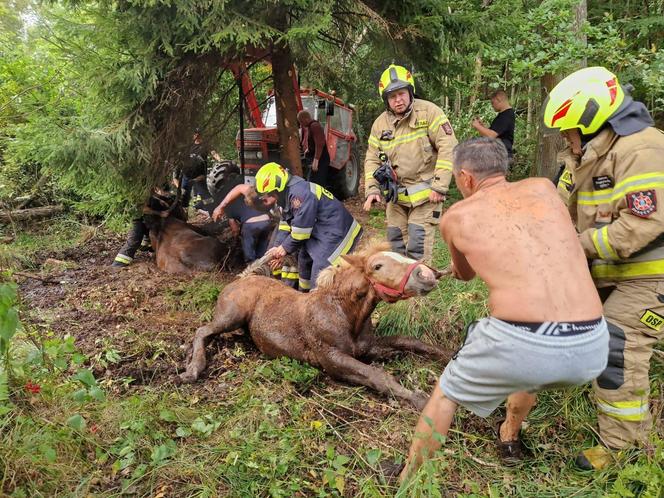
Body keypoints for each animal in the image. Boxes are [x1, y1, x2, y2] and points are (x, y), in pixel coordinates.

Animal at [179, 244, 454, 408]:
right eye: (377, 266)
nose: (427, 275)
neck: (344, 314)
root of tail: (243, 277)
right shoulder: (331, 359)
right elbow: (378, 376)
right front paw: (420, 399)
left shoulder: (366, 345)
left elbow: (409, 341)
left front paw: (447, 355)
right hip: (232, 315)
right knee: (203, 331)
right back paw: (193, 369)